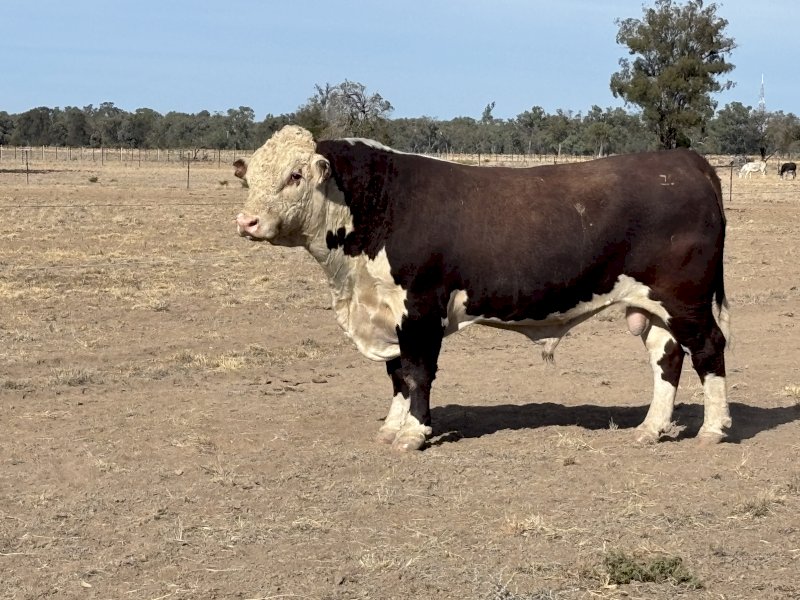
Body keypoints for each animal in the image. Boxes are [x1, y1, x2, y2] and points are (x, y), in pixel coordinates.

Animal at [234, 125, 731, 452]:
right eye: (250, 176)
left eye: (295, 175)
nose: (246, 221)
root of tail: (685, 160)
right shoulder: (388, 313)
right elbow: (396, 374)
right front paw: (392, 427)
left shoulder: (420, 308)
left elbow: (417, 373)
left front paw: (414, 433)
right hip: (655, 305)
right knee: (666, 357)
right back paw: (651, 428)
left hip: (686, 299)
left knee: (709, 348)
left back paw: (712, 429)